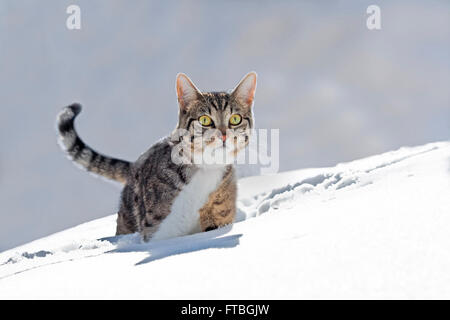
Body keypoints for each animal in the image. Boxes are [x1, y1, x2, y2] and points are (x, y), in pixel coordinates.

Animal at [56, 72, 256, 241]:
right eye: (205, 120)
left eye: (235, 119)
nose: (224, 135)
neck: (205, 170)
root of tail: (134, 165)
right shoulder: (157, 229)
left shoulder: (220, 216)